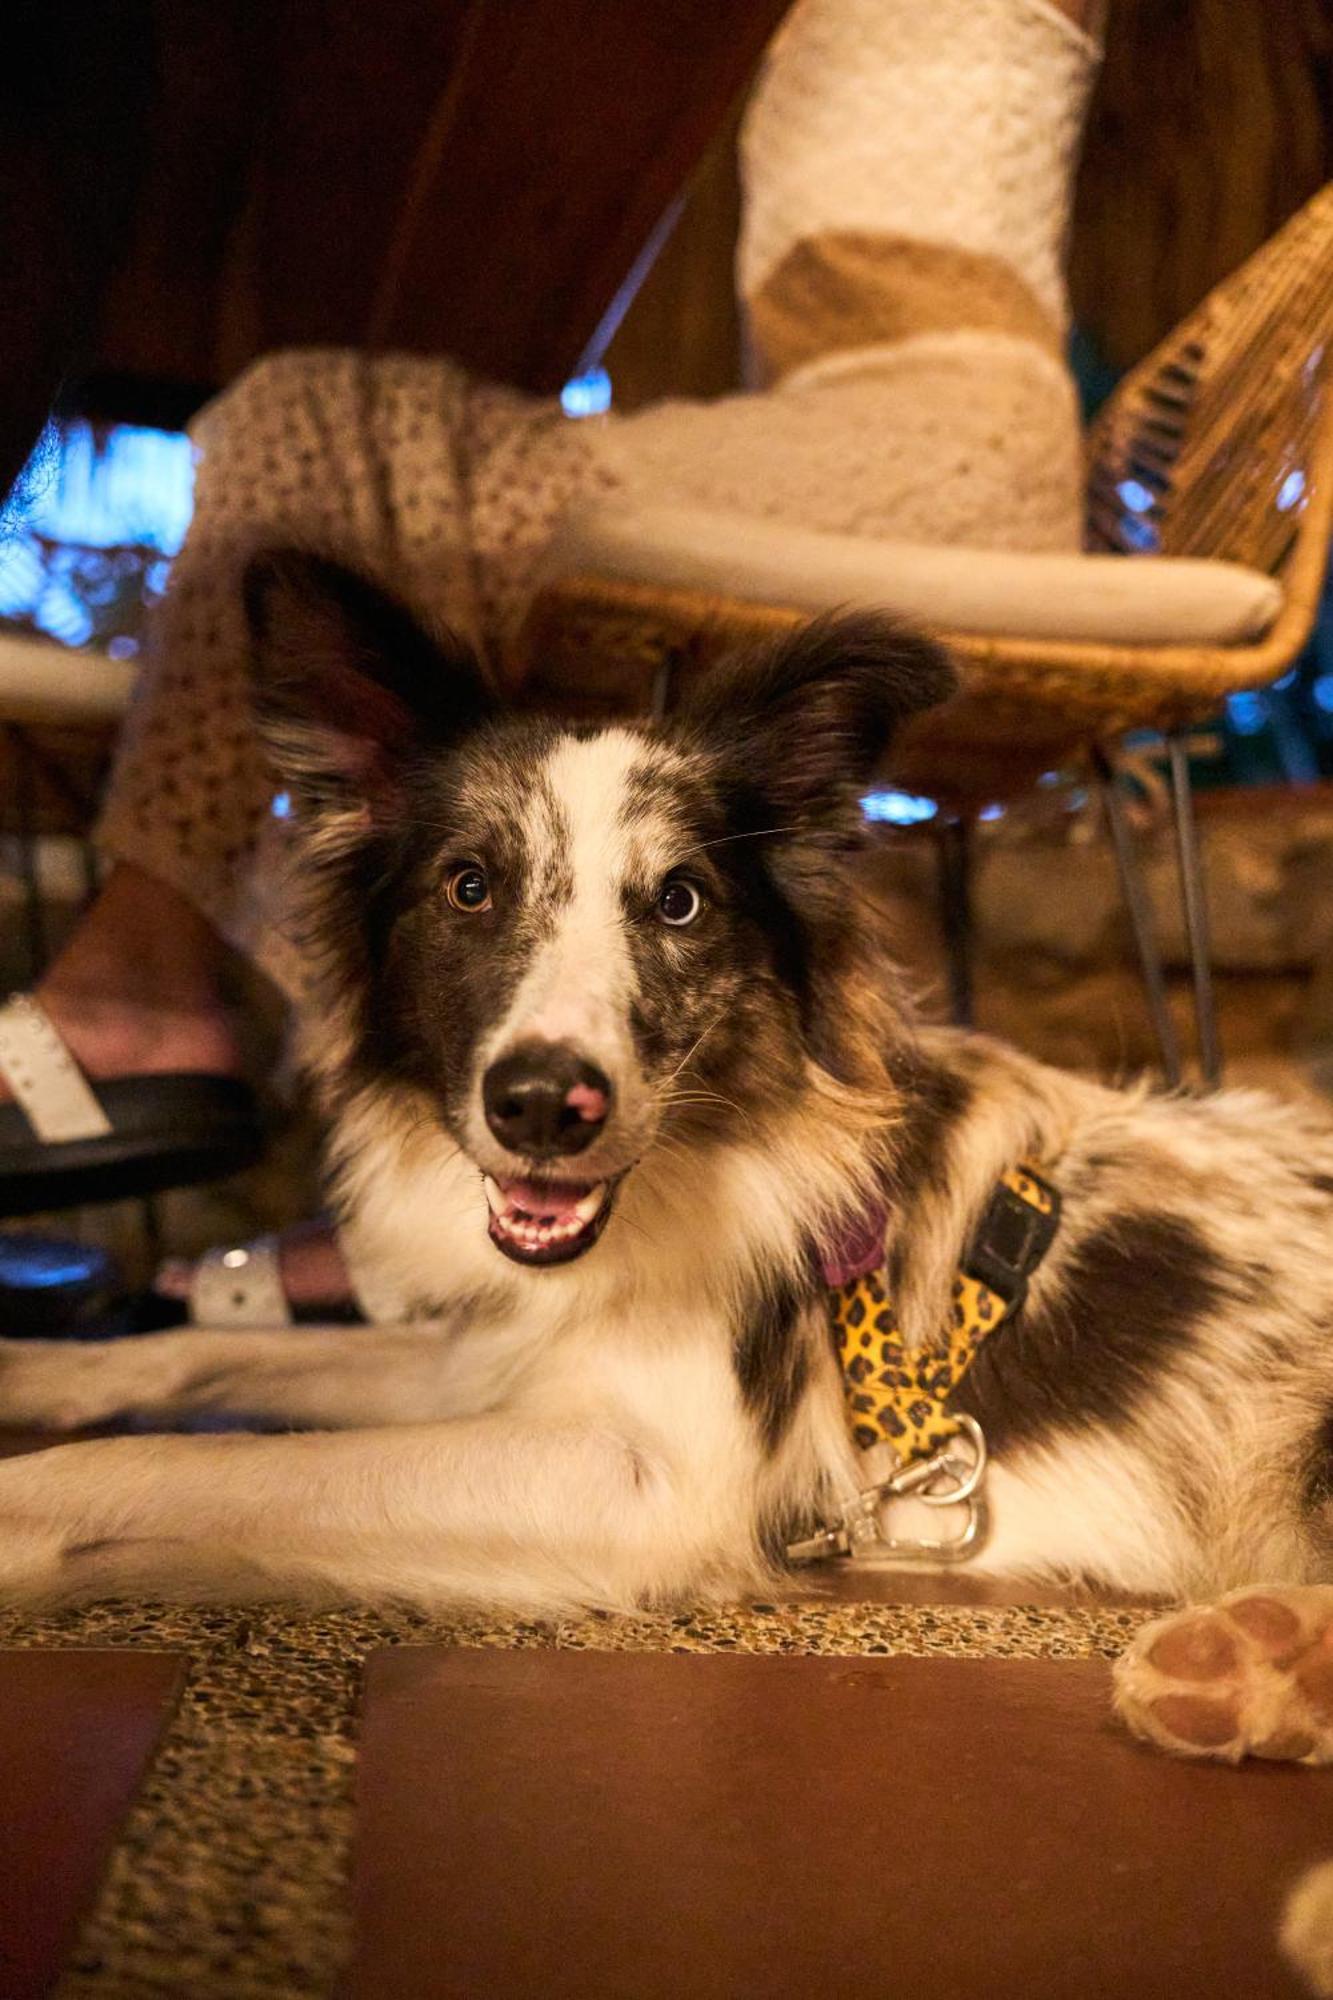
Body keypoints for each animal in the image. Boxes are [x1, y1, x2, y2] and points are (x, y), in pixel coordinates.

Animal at [2, 548, 1328, 1672]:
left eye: (679, 901)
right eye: (469, 886)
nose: (544, 1105)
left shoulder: (649, 1478)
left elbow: (227, 1460)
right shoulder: (499, 1361)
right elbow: (211, 1354)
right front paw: (38, 1365)